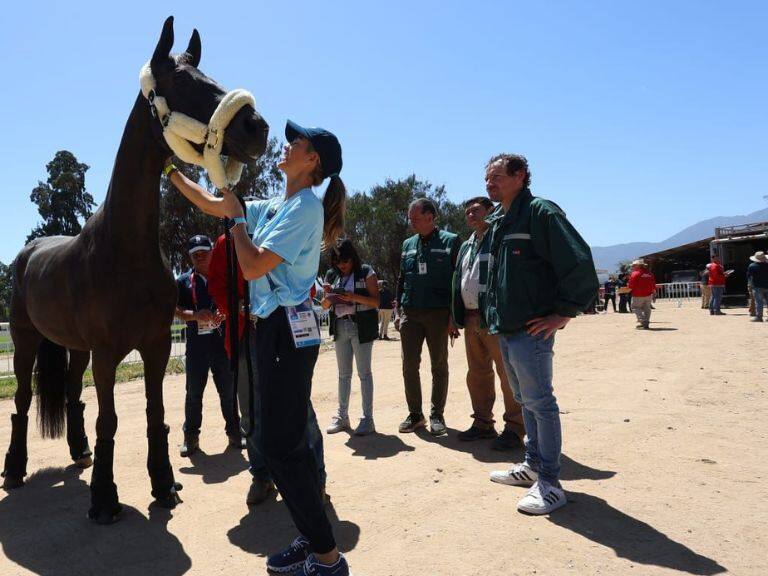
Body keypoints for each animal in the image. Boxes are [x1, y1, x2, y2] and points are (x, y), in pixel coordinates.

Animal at [1, 16, 269, 524]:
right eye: (182, 81)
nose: (257, 126)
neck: (125, 251)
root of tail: (28, 255)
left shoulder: (156, 345)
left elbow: (154, 413)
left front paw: (163, 485)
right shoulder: (108, 354)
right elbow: (110, 419)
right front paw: (105, 499)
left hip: (75, 349)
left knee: (71, 394)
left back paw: (80, 453)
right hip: (26, 342)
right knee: (23, 401)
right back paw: (14, 470)